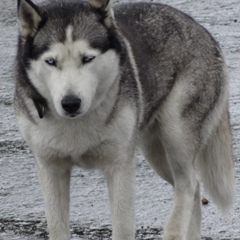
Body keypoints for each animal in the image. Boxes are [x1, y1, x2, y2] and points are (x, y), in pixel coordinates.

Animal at [14, 0, 234, 239]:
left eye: (87, 59)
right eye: (51, 61)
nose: (70, 102)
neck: (77, 124)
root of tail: (202, 29)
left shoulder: (120, 166)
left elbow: (123, 227)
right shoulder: (51, 168)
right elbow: (57, 228)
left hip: (176, 134)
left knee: (188, 183)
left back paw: (173, 230)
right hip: (155, 151)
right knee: (193, 188)